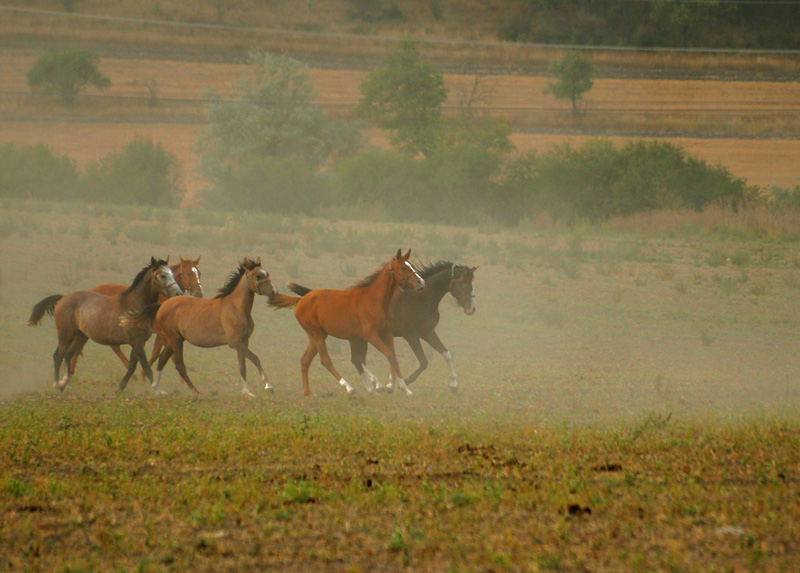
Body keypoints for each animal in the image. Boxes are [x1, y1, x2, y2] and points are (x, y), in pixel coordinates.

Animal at [25, 256, 183, 394]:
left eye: (172, 273)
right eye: (162, 275)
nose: (178, 293)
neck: (135, 307)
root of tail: (63, 298)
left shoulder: (138, 343)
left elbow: (132, 366)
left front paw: (120, 389)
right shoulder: (136, 342)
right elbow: (145, 366)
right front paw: (157, 390)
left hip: (81, 336)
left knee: (69, 355)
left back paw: (64, 383)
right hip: (66, 335)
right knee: (58, 356)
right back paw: (57, 386)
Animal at [71, 256, 202, 374]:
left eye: (199, 273)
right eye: (188, 274)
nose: (199, 293)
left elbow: (158, 353)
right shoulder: (161, 334)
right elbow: (163, 355)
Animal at [126, 256, 276, 396]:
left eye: (267, 273)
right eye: (258, 275)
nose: (273, 292)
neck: (236, 307)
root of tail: (162, 305)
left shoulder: (244, 341)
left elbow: (242, 366)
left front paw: (247, 392)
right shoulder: (235, 342)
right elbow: (255, 359)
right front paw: (268, 386)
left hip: (174, 339)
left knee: (162, 359)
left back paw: (157, 388)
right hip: (174, 339)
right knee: (179, 365)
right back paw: (195, 391)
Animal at [268, 248, 424, 400]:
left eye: (412, 265)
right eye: (403, 267)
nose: (421, 282)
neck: (374, 300)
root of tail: (300, 300)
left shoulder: (386, 332)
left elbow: (393, 357)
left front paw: (401, 388)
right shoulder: (371, 336)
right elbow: (389, 355)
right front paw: (396, 388)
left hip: (317, 336)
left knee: (305, 360)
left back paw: (308, 392)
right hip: (316, 333)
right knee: (325, 360)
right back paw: (349, 387)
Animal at [290, 260, 476, 392]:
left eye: (472, 282)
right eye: (463, 282)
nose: (472, 308)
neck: (419, 299)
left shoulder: (427, 331)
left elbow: (446, 354)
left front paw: (454, 385)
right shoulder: (411, 335)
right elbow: (423, 361)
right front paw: (403, 382)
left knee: (357, 359)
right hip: (355, 338)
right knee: (357, 359)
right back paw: (375, 384)